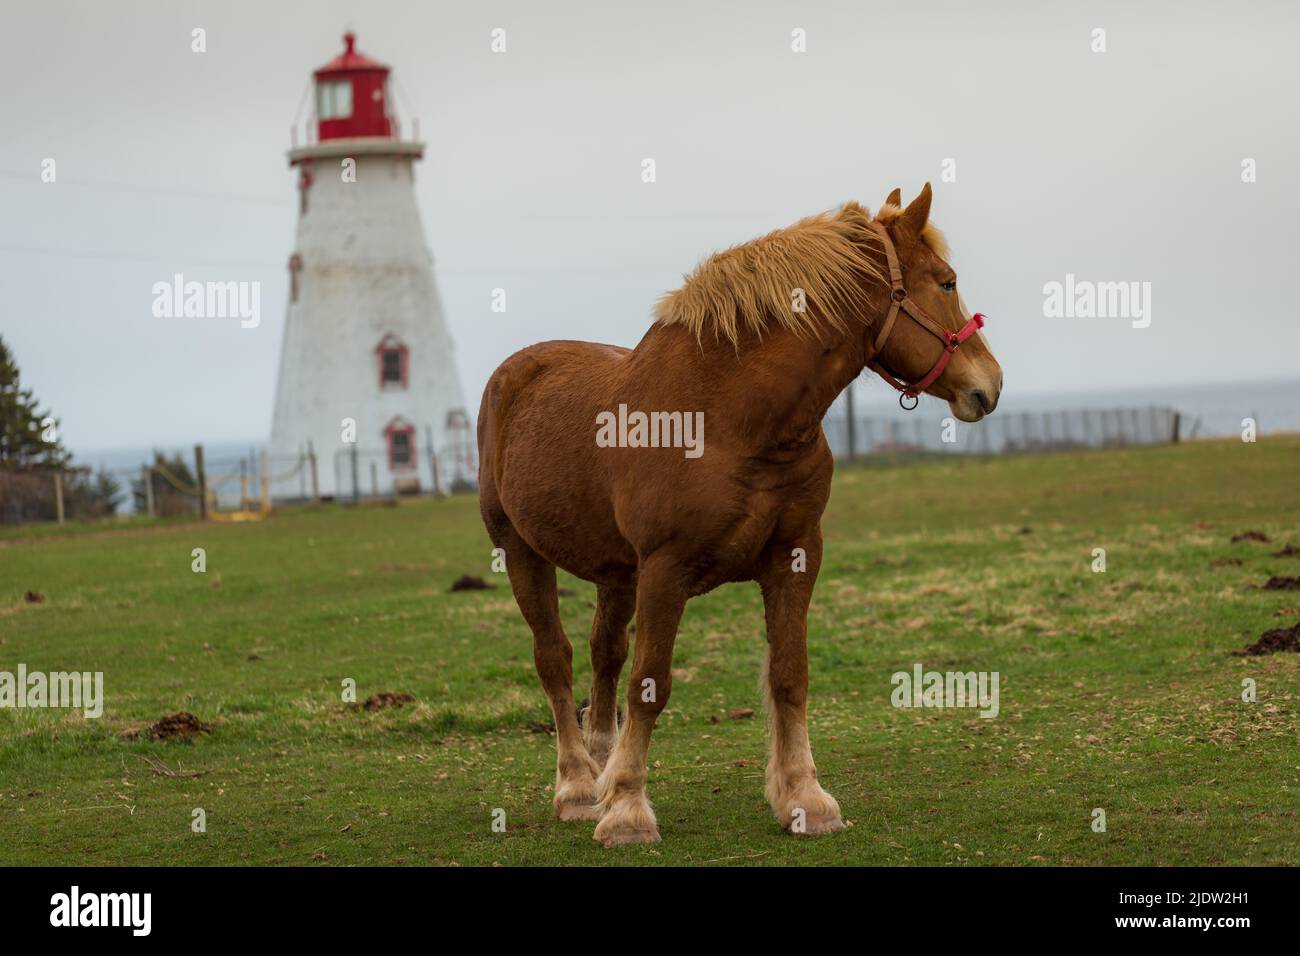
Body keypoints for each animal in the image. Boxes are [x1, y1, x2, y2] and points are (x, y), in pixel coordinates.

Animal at [477, 184, 1003, 846]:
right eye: (947, 281)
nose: (990, 385)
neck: (730, 416)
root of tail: (514, 374)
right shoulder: (665, 570)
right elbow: (650, 686)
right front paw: (627, 808)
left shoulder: (794, 555)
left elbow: (789, 676)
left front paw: (804, 798)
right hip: (521, 552)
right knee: (556, 660)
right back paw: (578, 787)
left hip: (617, 574)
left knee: (603, 656)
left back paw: (599, 767)